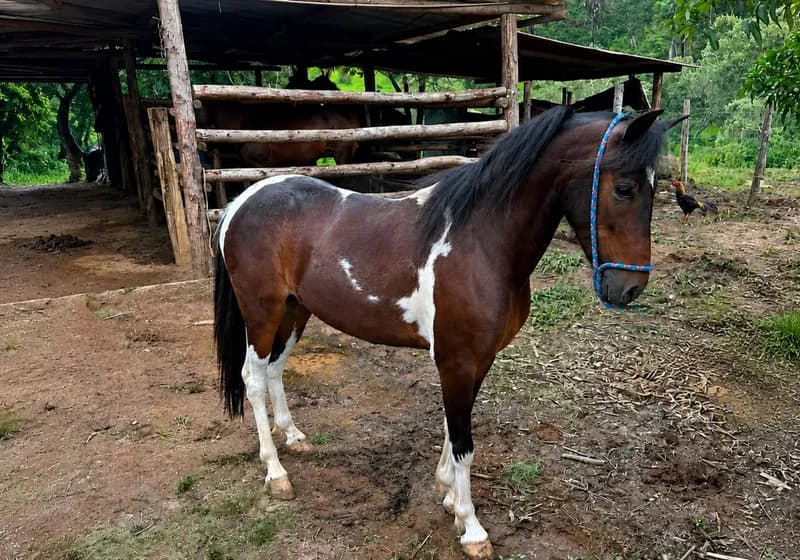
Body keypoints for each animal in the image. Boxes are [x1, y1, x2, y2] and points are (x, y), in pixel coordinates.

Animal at [213, 106, 685, 559]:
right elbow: (464, 441)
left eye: (655, 187)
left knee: (275, 370)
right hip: (262, 312)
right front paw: (472, 527)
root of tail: (242, 202)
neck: (480, 241)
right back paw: (276, 473)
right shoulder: (457, 359)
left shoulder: (476, 359)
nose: (630, 288)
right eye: (624, 189)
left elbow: (452, 426)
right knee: (253, 379)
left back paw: (293, 437)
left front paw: (448, 495)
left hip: (295, 310)